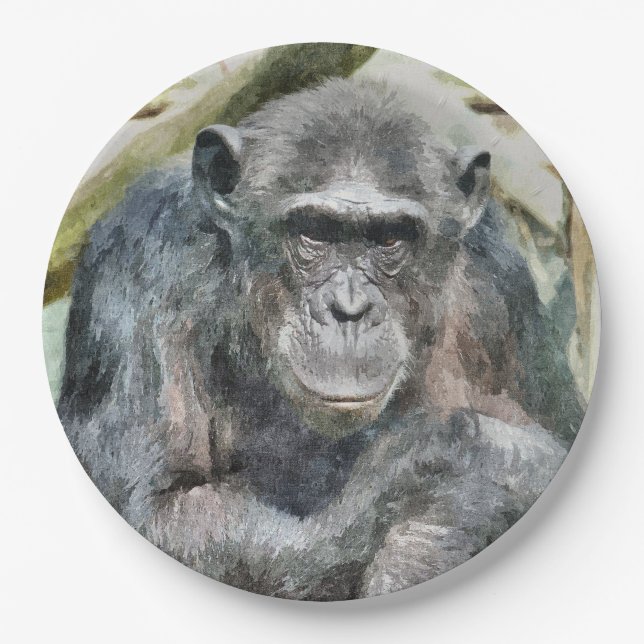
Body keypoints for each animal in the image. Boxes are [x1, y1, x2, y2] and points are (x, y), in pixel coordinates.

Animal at [57, 78, 582, 600]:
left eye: (390, 238)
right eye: (314, 232)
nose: (349, 309)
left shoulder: (501, 290)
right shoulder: (141, 266)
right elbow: (163, 506)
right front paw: (451, 465)